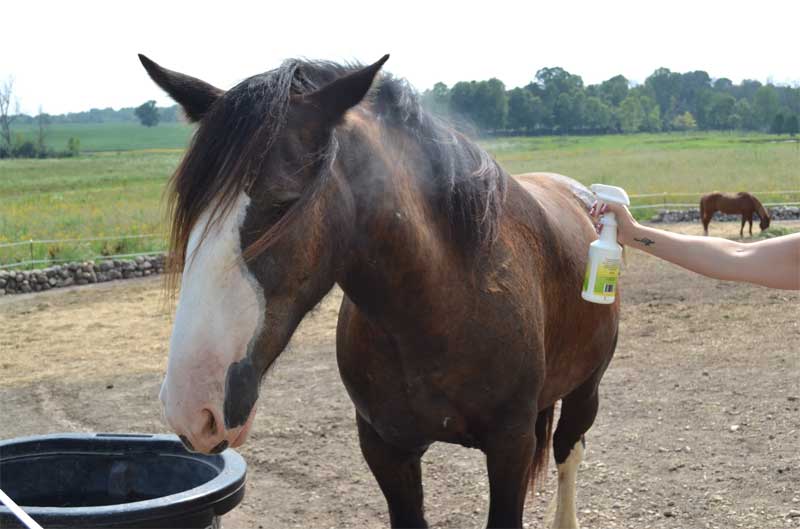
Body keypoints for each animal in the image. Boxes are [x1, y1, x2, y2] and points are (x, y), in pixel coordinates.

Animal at [139, 53, 620, 529]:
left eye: (282, 203)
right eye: (193, 206)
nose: (190, 405)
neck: (445, 304)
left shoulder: (511, 446)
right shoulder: (385, 448)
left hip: (585, 391)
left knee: (568, 452)